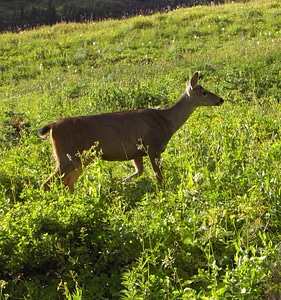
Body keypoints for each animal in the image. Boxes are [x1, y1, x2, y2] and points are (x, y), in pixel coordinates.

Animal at [38, 71, 223, 191]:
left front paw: (116, 184)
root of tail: (52, 126)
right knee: (47, 183)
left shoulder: (136, 153)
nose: (221, 99)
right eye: (204, 92)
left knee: (67, 183)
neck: (166, 122)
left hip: (82, 157)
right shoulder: (152, 147)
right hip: (68, 155)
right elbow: (158, 176)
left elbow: (138, 172)